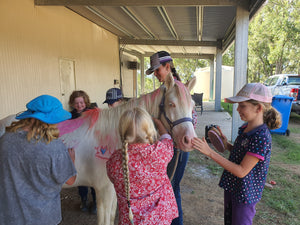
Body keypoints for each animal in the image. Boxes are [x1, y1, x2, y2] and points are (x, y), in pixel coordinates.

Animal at [0, 73, 197, 224]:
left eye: (193, 105)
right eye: (171, 104)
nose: (189, 140)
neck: (111, 136)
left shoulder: (113, 192)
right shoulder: (104, 191)